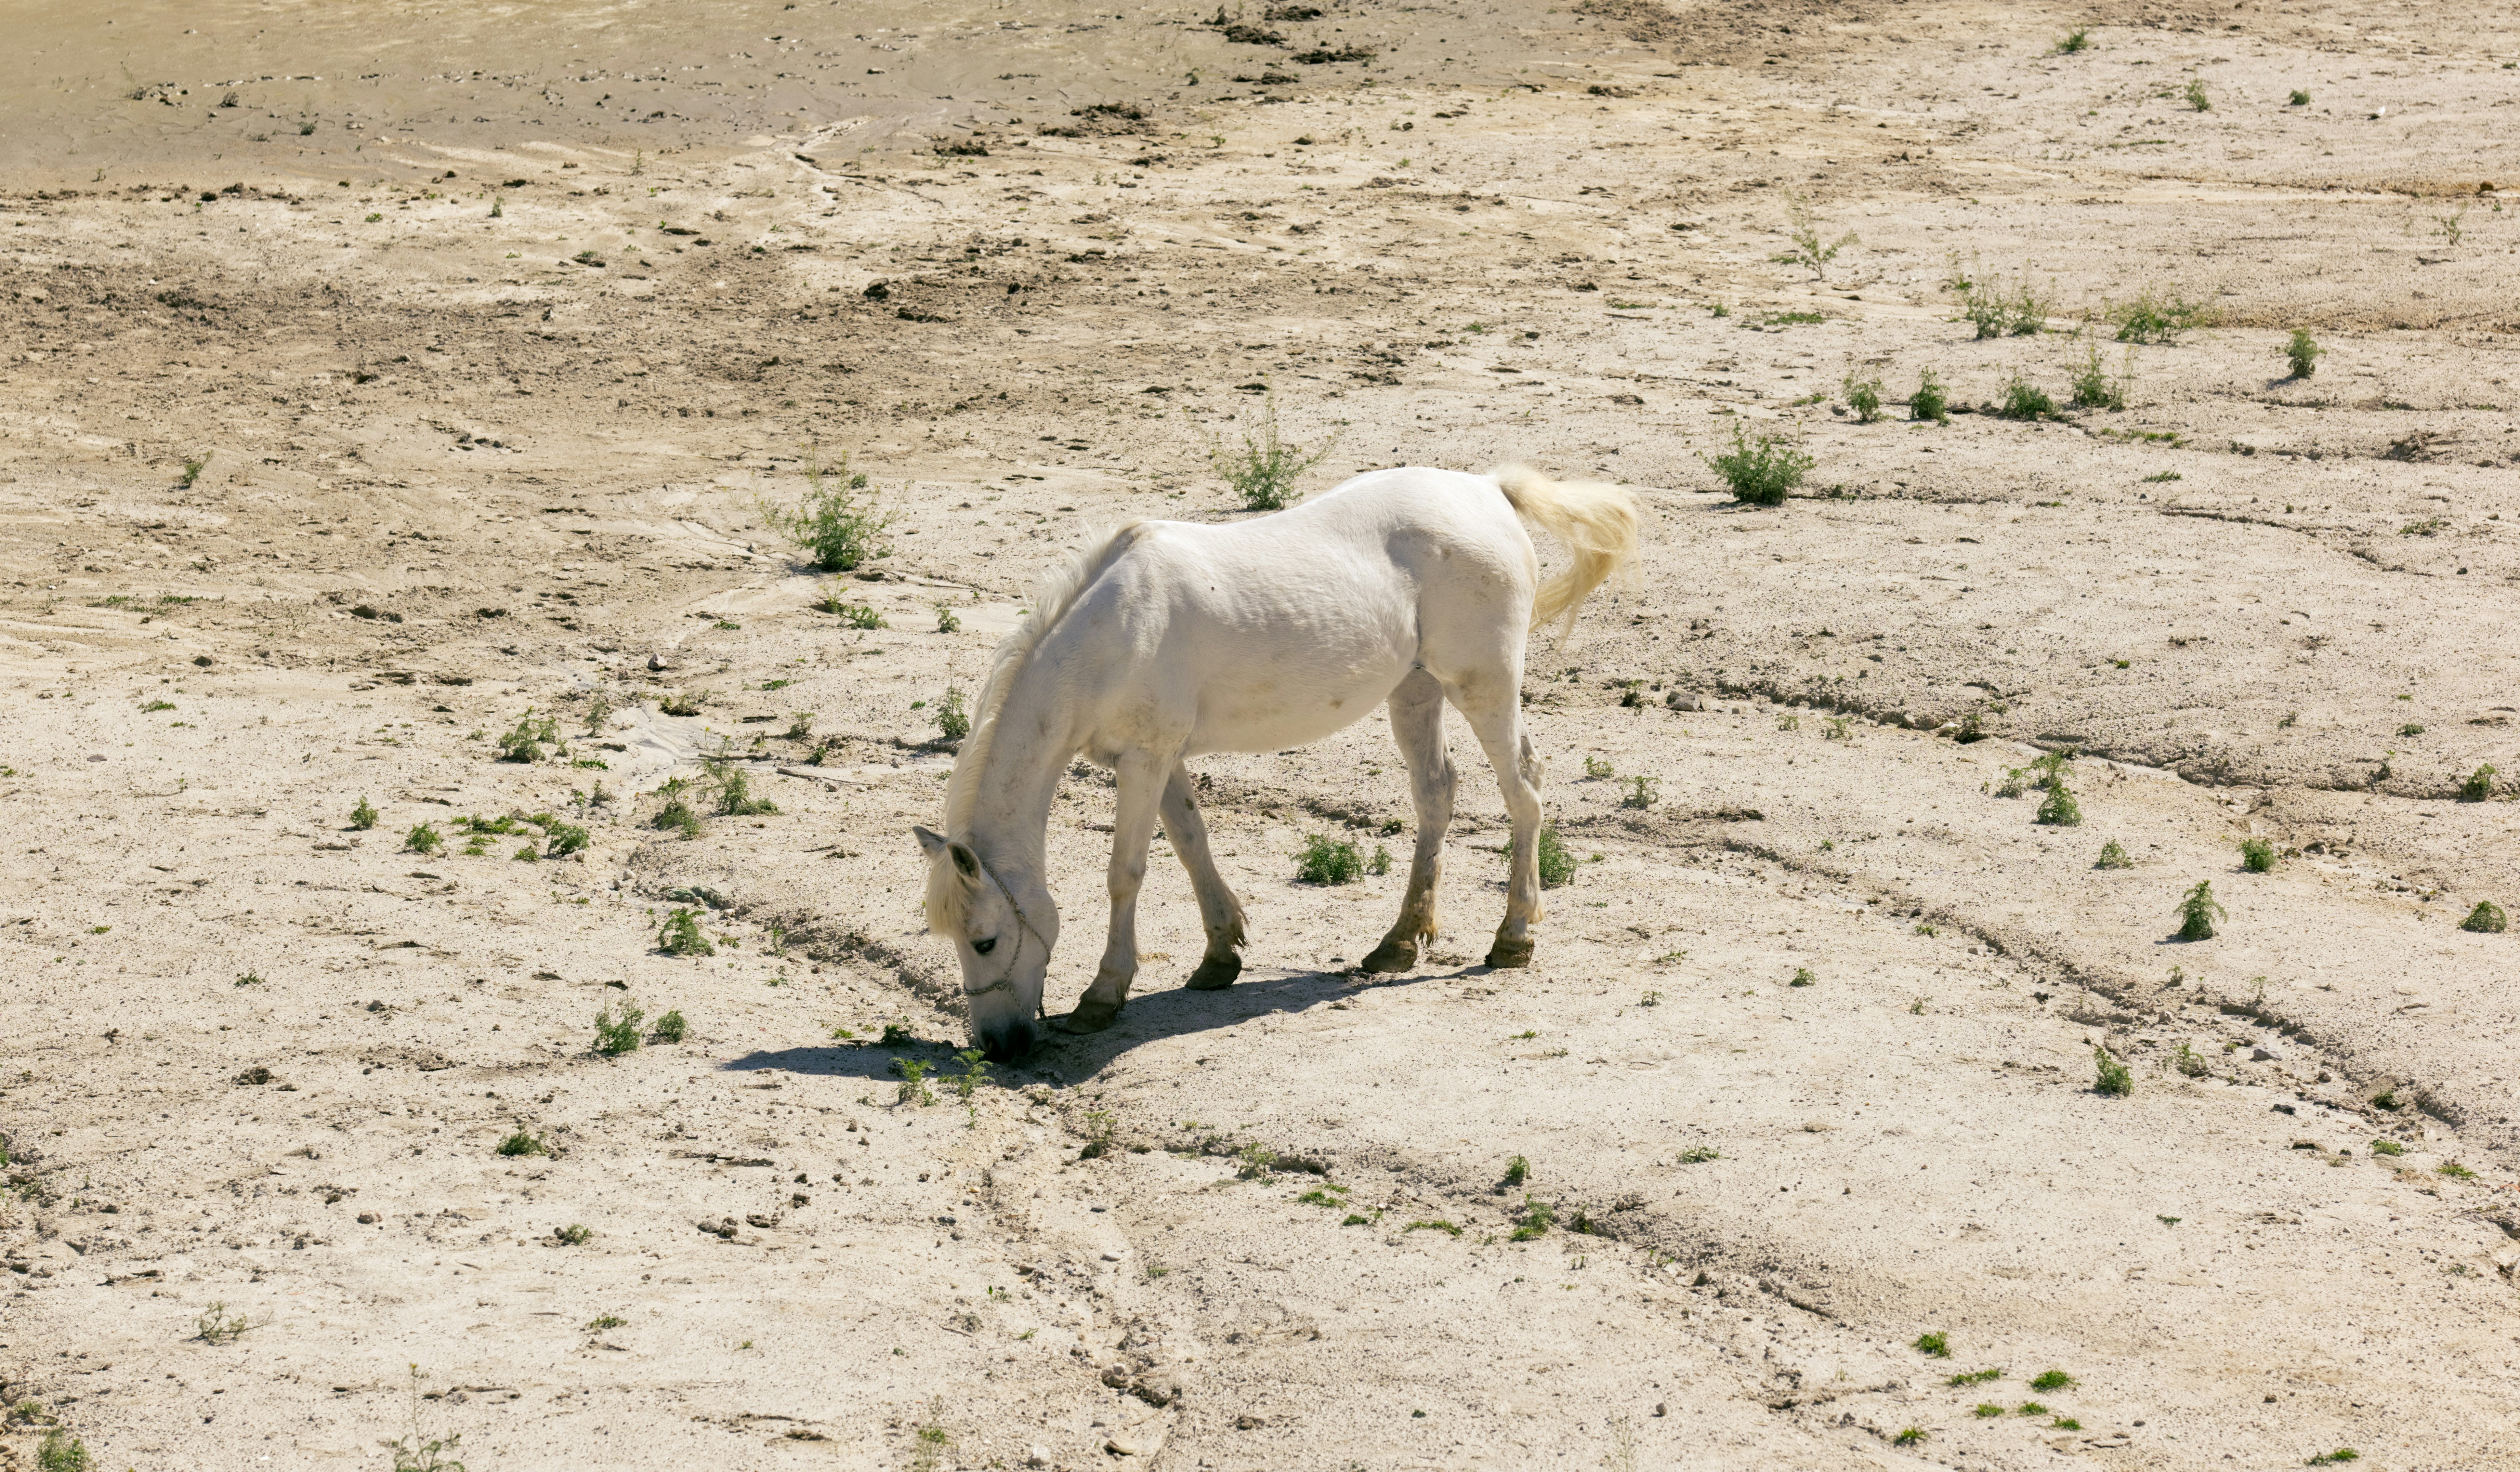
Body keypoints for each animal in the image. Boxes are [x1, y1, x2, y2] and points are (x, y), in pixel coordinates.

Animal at [912, 463, 1641, 1062]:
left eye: (984, 939)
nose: (999, 1045)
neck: (1110, 635)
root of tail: (1487, 490)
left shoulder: (1143, 761)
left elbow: (1127, 873)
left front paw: (1104, 993)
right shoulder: (1163, 758)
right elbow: (1191, 844)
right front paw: (1219, 953)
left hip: (1481, 685)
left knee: (1524, 792)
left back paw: (1513, 937)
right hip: (1415, 691)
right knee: (1437, 796)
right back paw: (1399, 942)